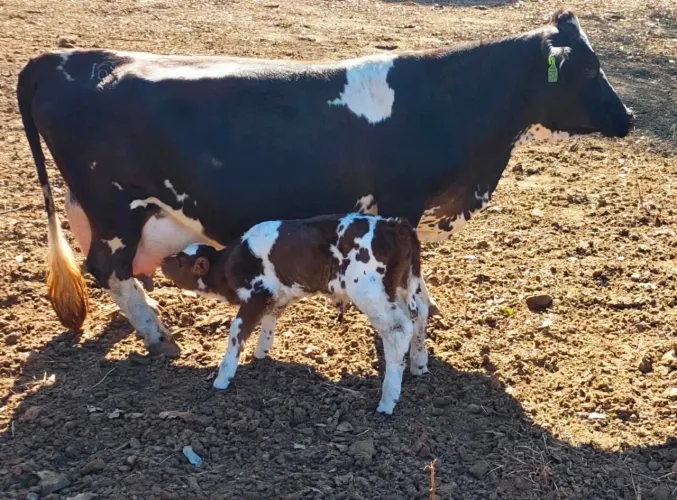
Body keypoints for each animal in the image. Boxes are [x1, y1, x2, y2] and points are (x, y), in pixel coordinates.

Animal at [16, 9, 634, 357]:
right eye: (587, 68)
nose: (628, 118)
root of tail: (65, 58)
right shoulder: (401, 206)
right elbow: (406, 286)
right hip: (113, 207)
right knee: (107, 270)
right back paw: (155, 331)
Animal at [160, 213, 431, 414]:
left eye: (180, 261)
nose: (162, 260)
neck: (228, 265)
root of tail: (395, 225)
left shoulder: (255, 295)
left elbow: (237, 332)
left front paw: (223, 377)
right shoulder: (277, 295)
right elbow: (270, 319)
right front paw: (261, 352)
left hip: (369, 290)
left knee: (398, 329)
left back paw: (387, 401)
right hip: (401, 286)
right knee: (420, 313)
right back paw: (418, 364)